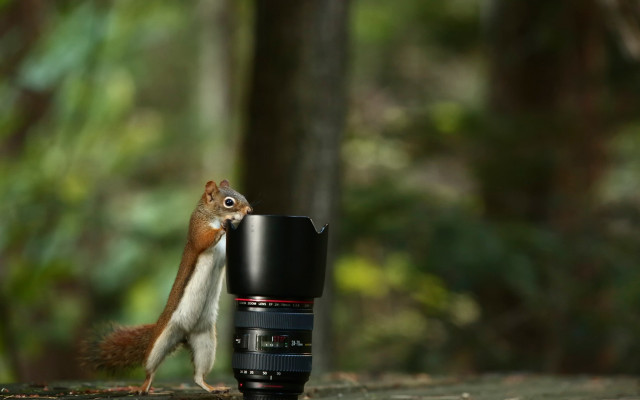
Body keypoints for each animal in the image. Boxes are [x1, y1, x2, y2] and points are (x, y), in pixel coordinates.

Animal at [83, 180, 252, 394]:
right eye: (229, 202)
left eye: (242, 195)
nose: (249, 210)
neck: (209, 214)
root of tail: (184, 336)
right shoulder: (197, 230)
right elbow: (203, 240)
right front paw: (225, 226)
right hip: (161, 341)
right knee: (150, 368)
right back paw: (143, 387)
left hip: (205, 342)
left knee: (198, 375)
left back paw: (212, 387)